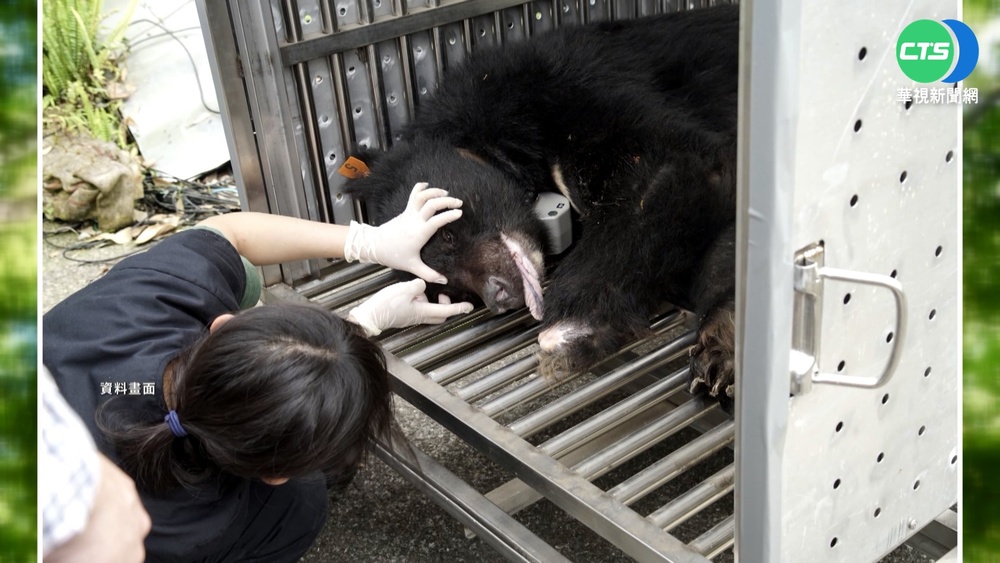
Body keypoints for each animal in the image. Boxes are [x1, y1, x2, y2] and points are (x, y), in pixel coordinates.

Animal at [343, 5, 739, 409]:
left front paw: (567, 329)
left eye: (448, 233)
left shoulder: (585, 85)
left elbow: (676, 167)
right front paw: (719, 354)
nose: (498, 296)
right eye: (452, 291)